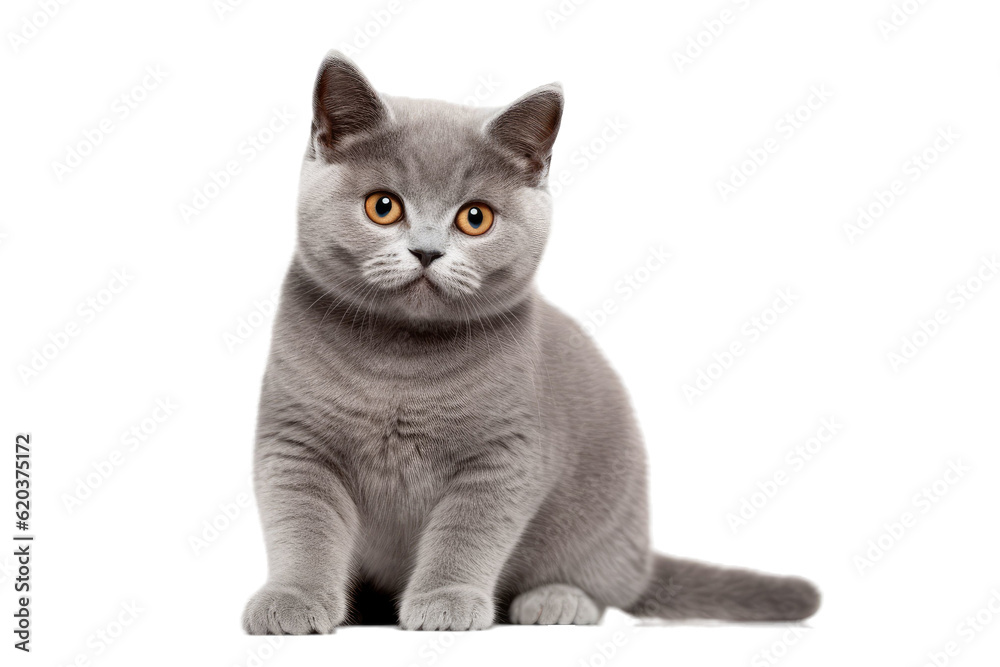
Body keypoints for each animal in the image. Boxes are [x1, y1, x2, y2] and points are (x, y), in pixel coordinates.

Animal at [242, 49, 820, 636]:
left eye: (475, 217)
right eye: (383, 206)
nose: (427, 251)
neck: (401, 363)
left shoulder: (503, 456)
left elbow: (466, 533)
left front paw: (447, 600)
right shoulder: (294, 444)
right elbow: (304, 529)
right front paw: (292, 599)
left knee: (604, 587)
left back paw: (557, 601)